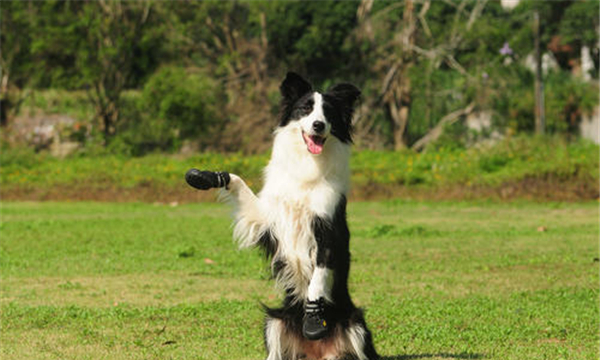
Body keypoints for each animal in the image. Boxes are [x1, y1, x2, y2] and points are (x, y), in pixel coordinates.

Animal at [185, 71, 378, 358]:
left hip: (355, 324)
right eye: (306, 109)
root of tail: (317, 354)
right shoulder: (265, 220)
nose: (318, 125)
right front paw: (207, 176)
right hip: (274, 320)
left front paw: (313, 319)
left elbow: (318, 278)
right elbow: (237, 182)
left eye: (328, 113)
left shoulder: (327, 230)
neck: (307, 167)